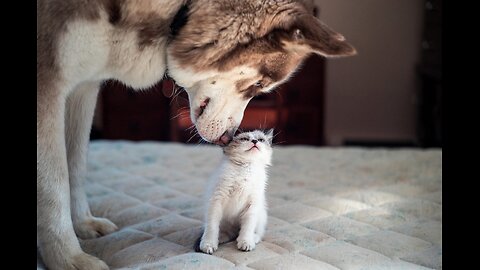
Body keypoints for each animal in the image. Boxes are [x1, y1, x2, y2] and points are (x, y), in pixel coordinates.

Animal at [37, 1, 354, 268]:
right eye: (259, 85)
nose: (229, 137)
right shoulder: (52, 86)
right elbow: (54, 185)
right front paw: (68, 257)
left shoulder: (84, 87)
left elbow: (75, 166)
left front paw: (83, 225)